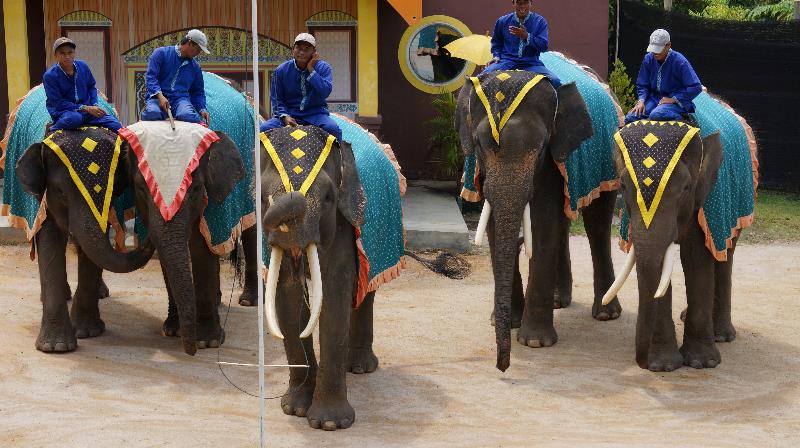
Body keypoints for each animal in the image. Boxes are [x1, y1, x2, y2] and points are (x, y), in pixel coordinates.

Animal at [16, 124, 244, 355]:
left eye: (197, 188)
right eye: (61, 191)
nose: (191, 351)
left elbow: (202, 249)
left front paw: (206, 342)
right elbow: (49, 239)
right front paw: (58, 347)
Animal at [455, 70, 621, 372]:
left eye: (541, 146)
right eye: (479, 144)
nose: (502, 367)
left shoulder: (553, 158)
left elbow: (543, 222)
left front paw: (534, 342)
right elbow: (496, 225)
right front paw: (505, 322)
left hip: (608, 160)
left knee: (597, 222)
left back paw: (605, 314)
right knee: (565, 221)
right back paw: (558, 301)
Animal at [603, 121, 730, 371]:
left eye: (686, 188)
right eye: (622, 185)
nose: (641, 363)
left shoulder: (699, 201)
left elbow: (696, 258)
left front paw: (702, 363)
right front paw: (663, 366)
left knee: (725, 253)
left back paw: (721, 335)